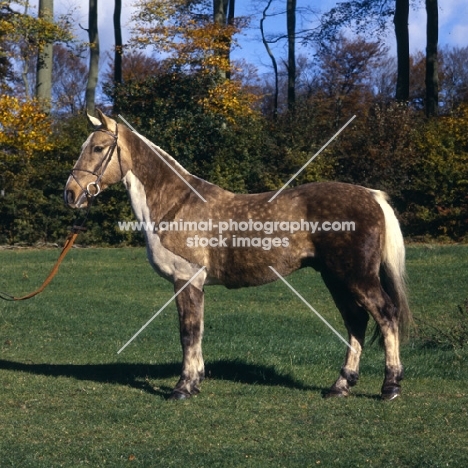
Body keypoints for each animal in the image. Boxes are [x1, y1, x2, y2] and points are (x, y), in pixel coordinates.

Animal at [63, 109, 410, 398]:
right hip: (335, 278)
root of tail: (371, 196)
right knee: (356, 322)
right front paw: (195, 381)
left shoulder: (185, 279)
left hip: (356, 277)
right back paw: (340, 386)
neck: (176, 204)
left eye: (98, 148)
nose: (71, 193)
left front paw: (182, 388)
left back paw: (390, 386)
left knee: (385, 314)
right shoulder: (194, 283)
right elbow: (197, 331)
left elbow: (188, 332)